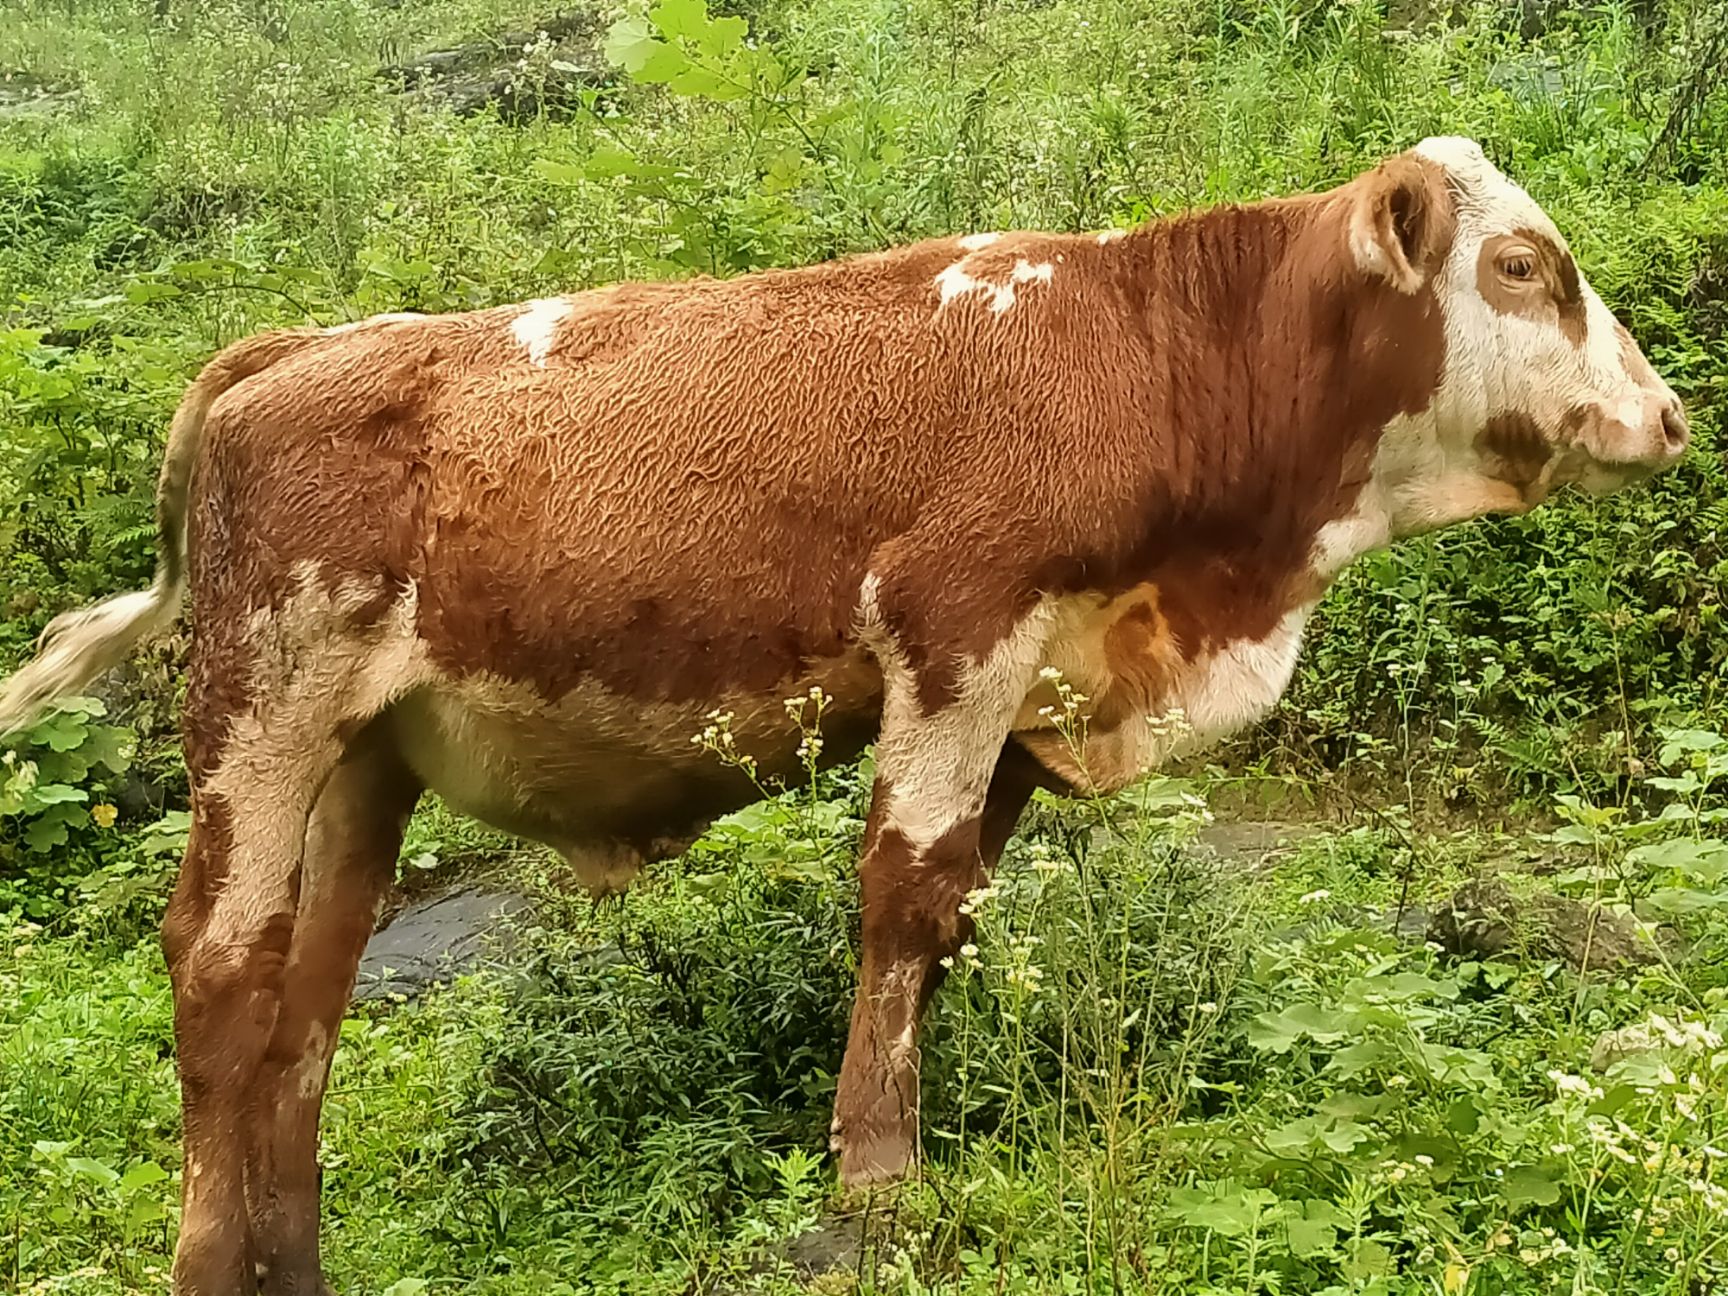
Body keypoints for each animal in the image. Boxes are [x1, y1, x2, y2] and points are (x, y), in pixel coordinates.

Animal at [0, 137, 1686, 1292]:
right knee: (221, 970)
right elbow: (902, 895)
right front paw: (876, 1175)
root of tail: (302, 342)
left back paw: (293, 1263)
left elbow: (957, 906)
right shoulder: (954, 631)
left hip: (363, 758)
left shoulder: (1031, 687)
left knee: (307, 1000)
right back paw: (211, 1264)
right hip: (263, 712)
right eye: (1523, 267)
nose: (1670, 417)